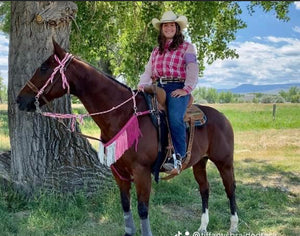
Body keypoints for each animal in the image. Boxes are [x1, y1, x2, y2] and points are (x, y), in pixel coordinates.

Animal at [17, 40, 239, 236]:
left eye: (44, 68)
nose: (20, 99)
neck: (123, 115)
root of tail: (223, 117)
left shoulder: (142, 172)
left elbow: (142, 209)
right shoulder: (119, 172)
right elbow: (125, 206)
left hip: (224, 162)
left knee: (230, 189)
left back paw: (233, 227)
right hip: (199, 162)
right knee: (204, 189)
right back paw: (203, 227)